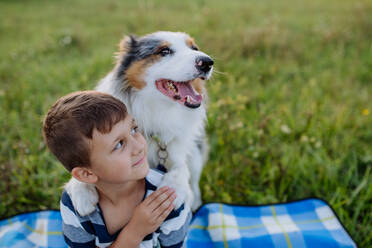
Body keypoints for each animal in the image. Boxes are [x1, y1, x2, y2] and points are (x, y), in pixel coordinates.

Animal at [65, 31, 214, 215]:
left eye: (194, 48)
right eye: (164, 51)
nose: (207, 62)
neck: (157, 109)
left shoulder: (178, 150)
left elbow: (181, 168)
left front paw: (173, 189)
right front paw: (81, 191)